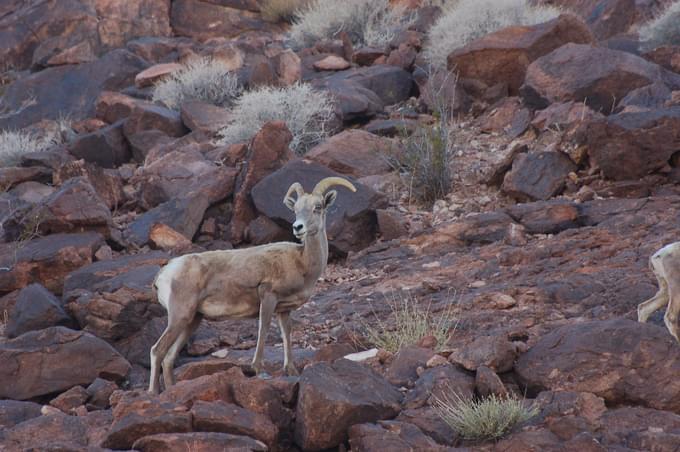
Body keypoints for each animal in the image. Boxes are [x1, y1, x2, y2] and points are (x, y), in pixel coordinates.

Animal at [147, 175, 358, 394]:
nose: (297, 227)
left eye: (317, 207)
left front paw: (291, 370)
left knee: (169, 357)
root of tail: (164, 273)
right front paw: (258, 369)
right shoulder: (268, 296)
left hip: (192, 320)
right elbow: (263, 329)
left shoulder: (284, 310)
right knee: (157, 350)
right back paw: (153, 392)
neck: (302, 262)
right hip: (179, 316)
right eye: (296, 209)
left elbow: (286, 334)